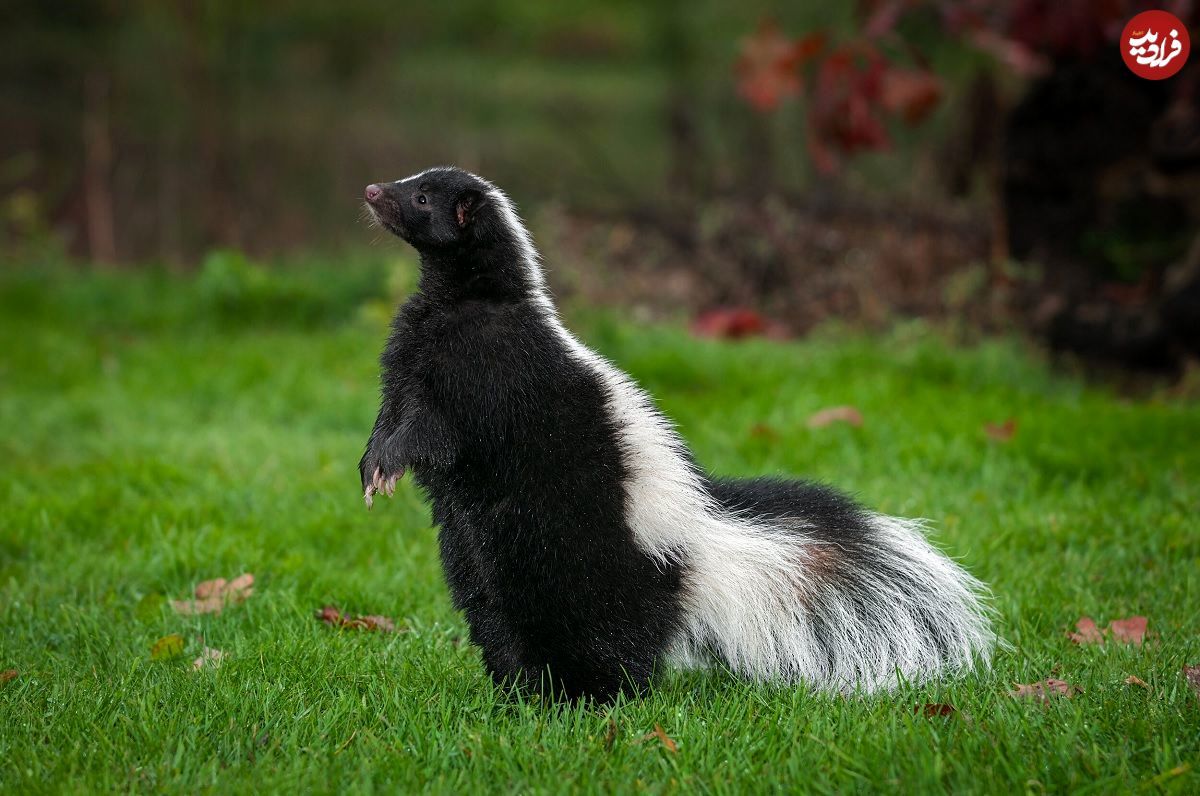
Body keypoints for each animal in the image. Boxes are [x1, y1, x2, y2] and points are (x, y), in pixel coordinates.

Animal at [357, 166, 993, 705]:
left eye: (420, 197)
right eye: (412, 182)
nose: (371, 190)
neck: (471, 298)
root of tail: (698, 553)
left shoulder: (486, 372)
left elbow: (431, 430)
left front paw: (387, 467)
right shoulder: (410, 360)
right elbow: (393, 413)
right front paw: (371, 466)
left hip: (585, 561)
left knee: (597, 637)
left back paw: (584, 700)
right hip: (483, 558)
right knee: (497, 615)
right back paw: (517, 693)